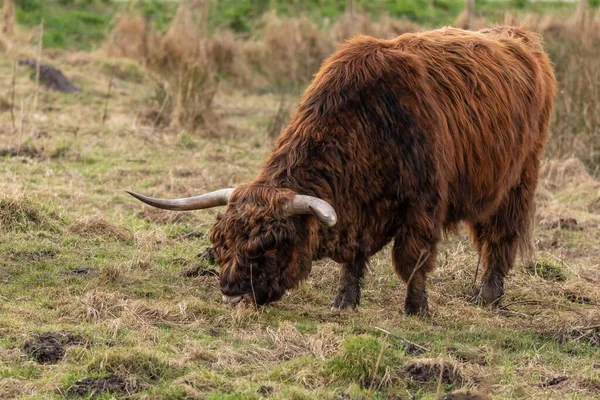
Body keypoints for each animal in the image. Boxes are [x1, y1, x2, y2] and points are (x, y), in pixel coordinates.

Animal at [129, 26, 556, 318]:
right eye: (219, 243)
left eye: (268, 244)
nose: (232, 294)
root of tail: (519, 36)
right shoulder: (357, 211)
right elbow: (354, 259)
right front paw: (344, 301)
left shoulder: (423, 205)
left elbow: (413, 260)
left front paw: (417, 309)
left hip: (518, 180)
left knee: (500, 238)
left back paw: (489, 297)